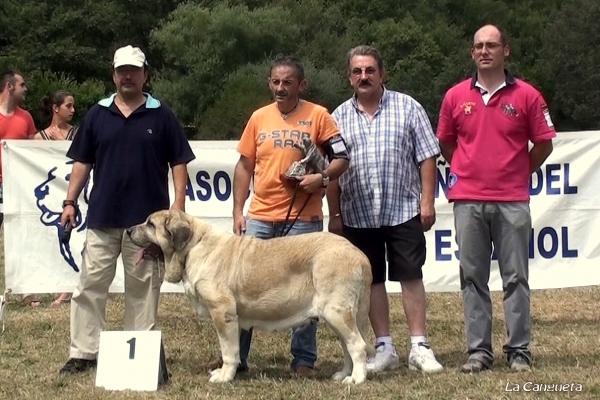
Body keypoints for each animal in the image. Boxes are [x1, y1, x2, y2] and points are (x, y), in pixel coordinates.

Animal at [125, 209, 372, 384]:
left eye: (150, 224)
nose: (128, 230)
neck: (193, 245)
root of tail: (359, 254)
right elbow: (235, 348)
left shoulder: (222, 313)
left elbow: (229, 350)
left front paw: (224, 376)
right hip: (339, 316)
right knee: (348, 347)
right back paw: (343, 375)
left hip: (337, 312)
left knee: (357, 345)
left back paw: (356, 379)